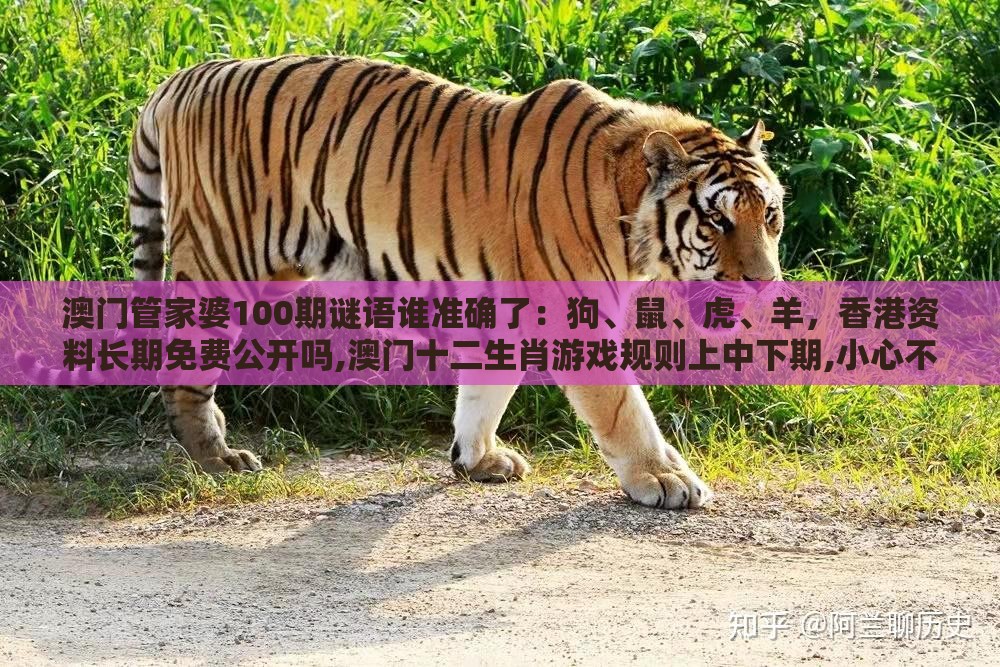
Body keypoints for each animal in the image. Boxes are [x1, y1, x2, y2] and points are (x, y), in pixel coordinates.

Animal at [127, 54, 784, 510]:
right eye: (718, 220)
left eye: (770, 216)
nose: (765, 286)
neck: (626, 201)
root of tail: (181, 78)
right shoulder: (576, 314)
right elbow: (624, 408)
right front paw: (665, 478)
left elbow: (486, 389)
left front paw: (478, 459)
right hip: (223, 260)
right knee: (183, 366)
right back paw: (217, 457)